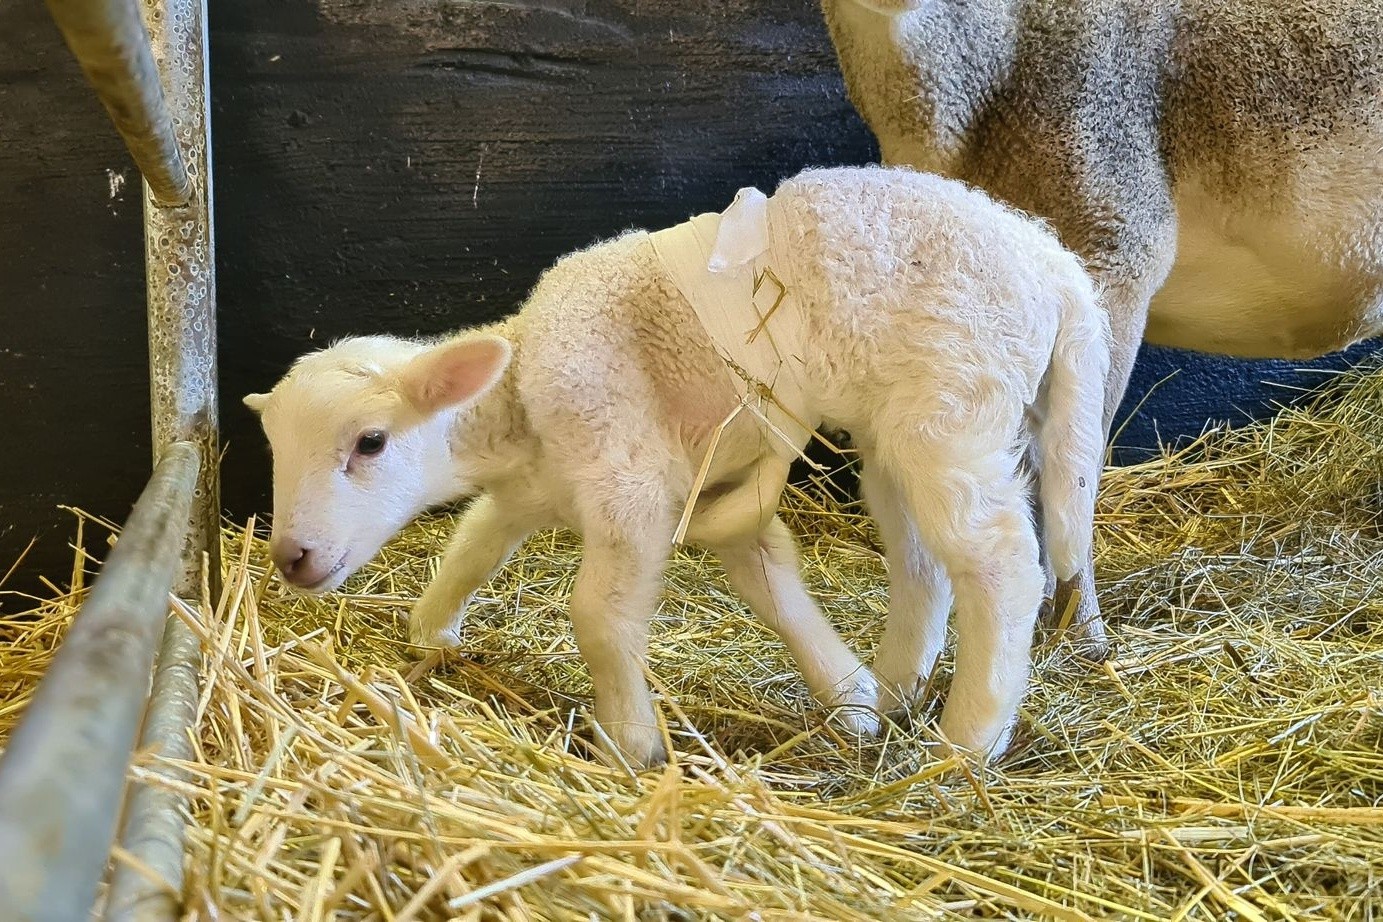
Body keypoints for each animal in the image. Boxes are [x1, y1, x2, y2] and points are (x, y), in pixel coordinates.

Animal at [243, 167, 1111, 774]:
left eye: (370, 443)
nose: (291, 558)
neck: (522, 403)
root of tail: (1057, 270)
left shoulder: (629, 481)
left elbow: (598, 617)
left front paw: (630, 743)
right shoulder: (574, 487)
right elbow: (477, 542)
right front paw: (850, 698)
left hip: (952, 406)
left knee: (1000, 564)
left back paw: (965, 742)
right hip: (900, 433)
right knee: (922, 561)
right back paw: (899, 690)